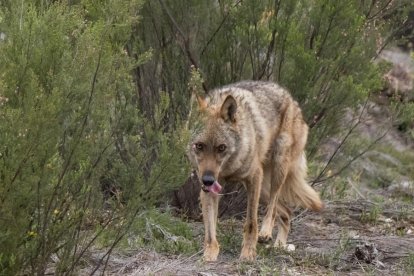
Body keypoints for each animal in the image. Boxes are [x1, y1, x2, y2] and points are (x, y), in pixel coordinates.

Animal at [188, 80, 324, 260]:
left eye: (221, 148)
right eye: (199, 146)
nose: (208, 180)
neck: (229, 167)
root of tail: (292, 100)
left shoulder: (253, 177)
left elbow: (251, 222)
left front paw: (248, 253)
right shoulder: (209, 190)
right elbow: (210, 231)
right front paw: (209, 254)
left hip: (276, 169)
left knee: (273, 208)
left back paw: (266, 233)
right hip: (263, 189)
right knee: (287, 212)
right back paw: (279, 246)